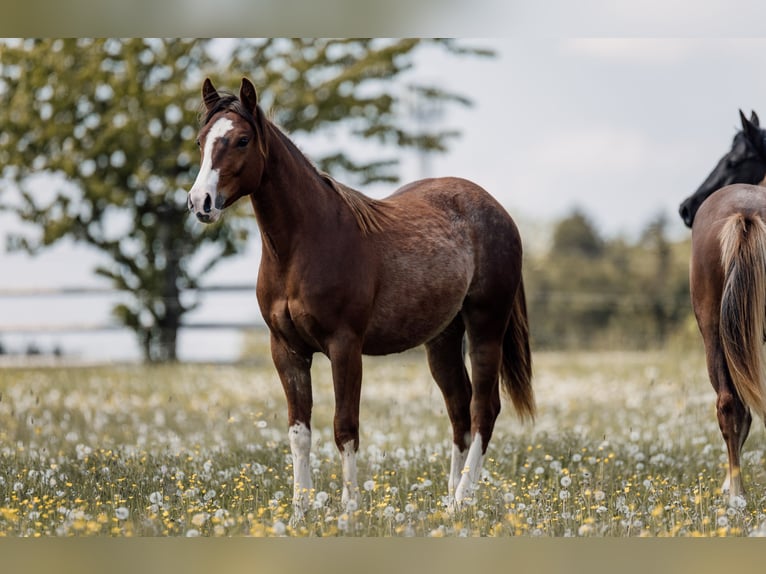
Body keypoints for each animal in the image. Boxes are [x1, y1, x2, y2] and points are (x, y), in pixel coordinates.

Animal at [187, 77, 534, 518]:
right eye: (201, 141)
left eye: (242, 139)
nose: (200, 202)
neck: (304, 244)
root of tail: (498, 212)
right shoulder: (286, 350)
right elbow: (299, 432)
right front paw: (300, 511)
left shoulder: (344, 346)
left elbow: (345, 427)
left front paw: (349, 509)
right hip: (442, 339)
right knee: (459, 411)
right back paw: (447, 499)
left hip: (486, 327)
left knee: (483, 411)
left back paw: (461, 499)